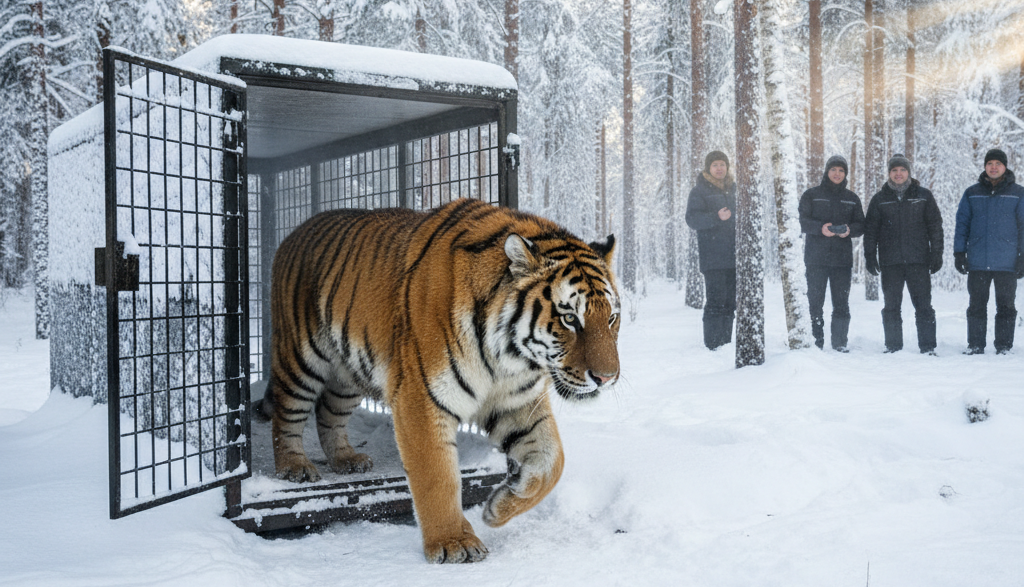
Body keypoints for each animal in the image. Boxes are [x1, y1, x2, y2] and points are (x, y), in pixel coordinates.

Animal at [259, 197, 620, 563]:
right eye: (569, 318)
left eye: (612, 318)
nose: (607, 377)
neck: (509, 358)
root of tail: (296, 230)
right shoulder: (421, 398)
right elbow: (438, 477)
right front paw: (453, 543)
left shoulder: (517, 402)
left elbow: (553, 461)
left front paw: (499, 507)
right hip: (300, 359)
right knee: (286, 415)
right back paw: (294, 467)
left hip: (347, 373)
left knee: (328, 413)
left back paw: (346, 459)